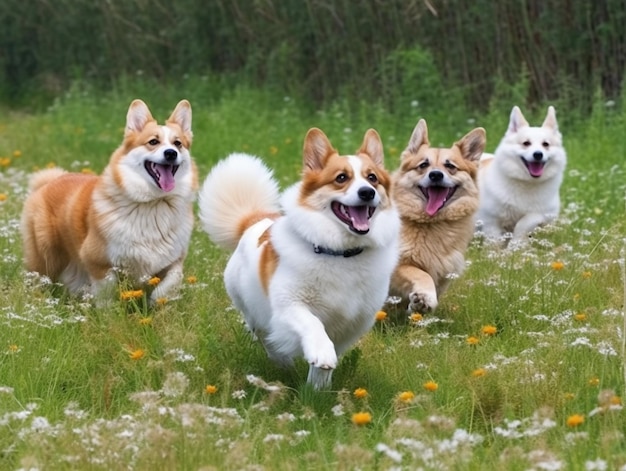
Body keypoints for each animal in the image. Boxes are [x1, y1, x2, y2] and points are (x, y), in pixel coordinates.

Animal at [20, 101, 195, 304]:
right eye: (153, 142)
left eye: (178, 144)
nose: (171, 153)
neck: (154, 204)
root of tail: (48, 181)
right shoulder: (99, 262)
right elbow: (106, 295)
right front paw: (109, 310)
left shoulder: (174, 261)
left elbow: (170, 283)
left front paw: (158, 302)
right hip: (46, 258)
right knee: (37, 279)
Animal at [197, 127, 398, 390]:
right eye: (341, 178)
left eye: (372, 178)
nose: (367, 192)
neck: (340, 252)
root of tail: (255, 219)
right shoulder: (291, 305)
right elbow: (313, 325)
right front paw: (321, 354)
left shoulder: (353, 323)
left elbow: (329, 353)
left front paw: (318, 387)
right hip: (255, 312)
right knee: (268, 338)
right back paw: (282, 361)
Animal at [388, 120, 486, 316]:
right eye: (423, 165)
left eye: (450, 166)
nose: (435, 174)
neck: (432, 223)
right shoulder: (397, 265)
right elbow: (422, 274)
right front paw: (425, 297)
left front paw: (419, 305)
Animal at [478, 106, 564, 240]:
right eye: (526, 143)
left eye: (545, 144)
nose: (538, 154)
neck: (526, 183)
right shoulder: (490, 220)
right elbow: (494, 241)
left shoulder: (544, 213)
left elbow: (525, 222)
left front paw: (516, 243)